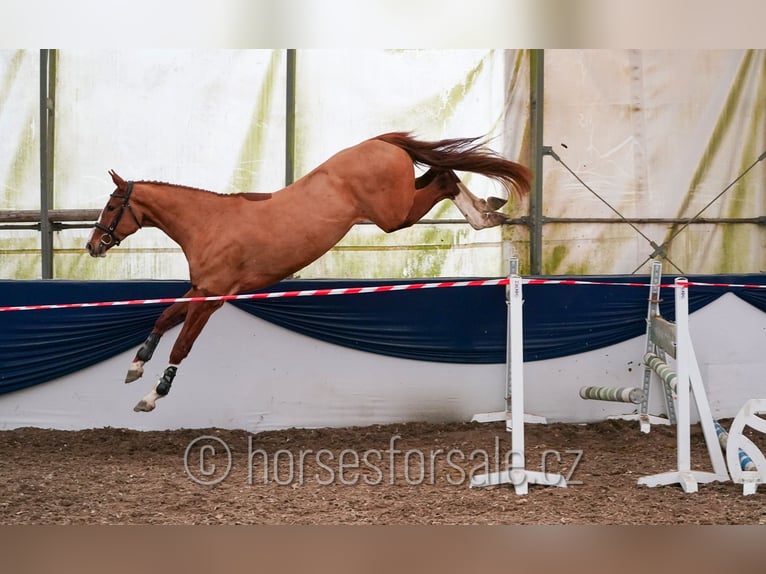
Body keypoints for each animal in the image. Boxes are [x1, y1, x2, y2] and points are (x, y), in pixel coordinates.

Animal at [86, 132, 531, 412]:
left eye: (111, 206)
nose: (93, 246)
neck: (209, 224)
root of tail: (379, 142)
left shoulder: (213, 299)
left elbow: (182, 346)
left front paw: (152, 396)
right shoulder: (201, 288)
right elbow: (163, 317)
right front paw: (135, 366)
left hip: (393, 215)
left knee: (444, 178)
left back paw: (485, 216)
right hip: (399, 205)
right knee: (441, 173)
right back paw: (490, 209)